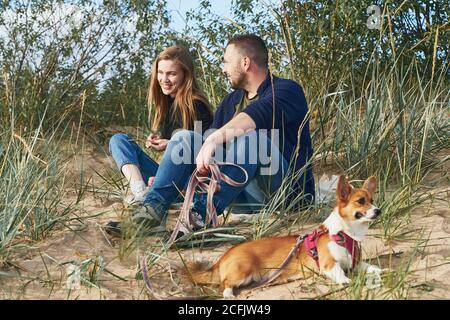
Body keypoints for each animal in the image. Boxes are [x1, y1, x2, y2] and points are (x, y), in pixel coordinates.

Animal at [187, 175, 384, 298]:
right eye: (360, 201)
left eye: (372, 201)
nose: (378, 210)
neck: (344, 233)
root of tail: (223, 256)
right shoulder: (329, 266)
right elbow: (340, 273)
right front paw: (346, 280)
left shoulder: (356, 263)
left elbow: (370, 267)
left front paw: (381, 270)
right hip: (244, 270)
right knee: (224, 283)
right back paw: (228, 294)